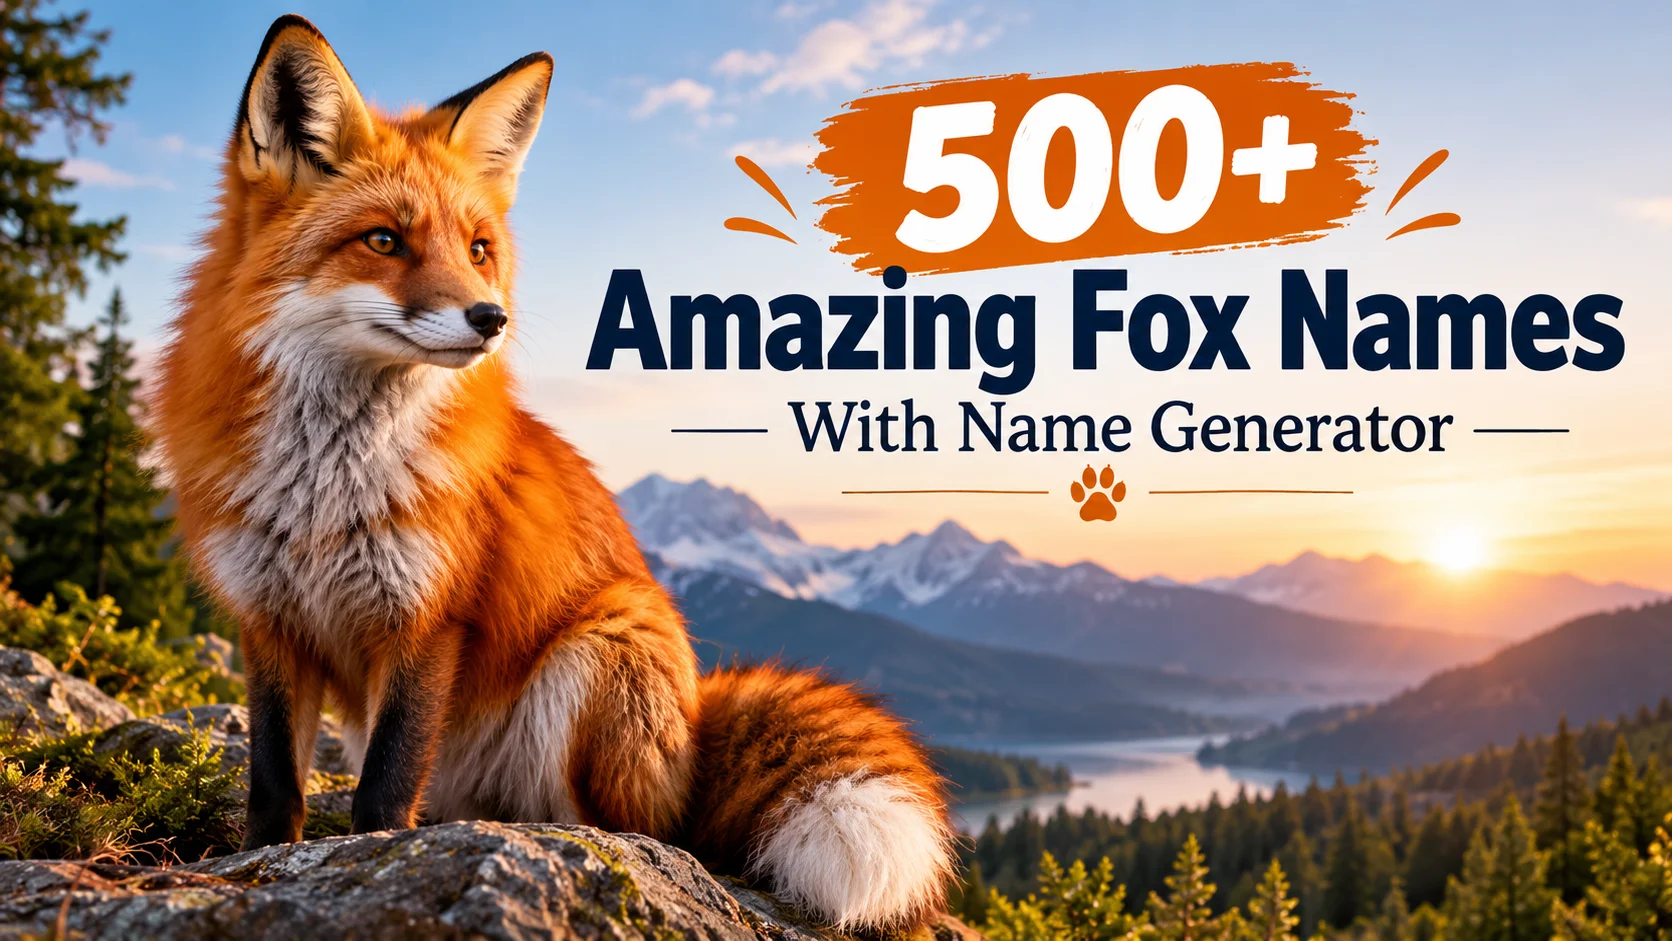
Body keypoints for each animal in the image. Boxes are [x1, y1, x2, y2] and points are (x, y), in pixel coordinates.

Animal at [150, 14, 955, 933]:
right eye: (384, 240)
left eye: (478, 249)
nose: (489, 318)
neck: (325, 487)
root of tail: (695, 728)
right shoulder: (270, 619)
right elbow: (274, 783)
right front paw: (259, 860)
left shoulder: (430, 616)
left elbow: (385, 791)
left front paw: (375, 855)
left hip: (599, 651)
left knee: (637, 831)